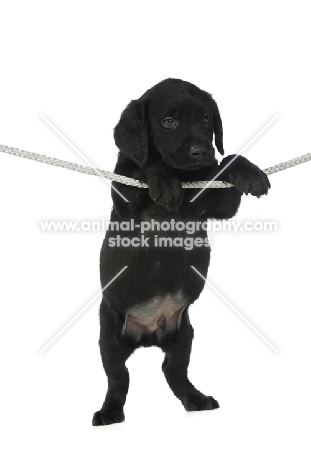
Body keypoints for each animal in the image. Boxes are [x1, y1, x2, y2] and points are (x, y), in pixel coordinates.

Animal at [92, 78, 270, 426]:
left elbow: (229, 160)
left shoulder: (219, 204)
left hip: (183, 333)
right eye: (168, 121)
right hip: (110, 335)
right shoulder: (125, 196)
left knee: (172, 370)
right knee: (119, 378)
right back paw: (109, 412)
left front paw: (251, 173)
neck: (186, 177)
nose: (201, 151)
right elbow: (146, 166)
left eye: (206, 119)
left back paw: (195, 399)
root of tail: (148, 335)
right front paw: (164, 182)